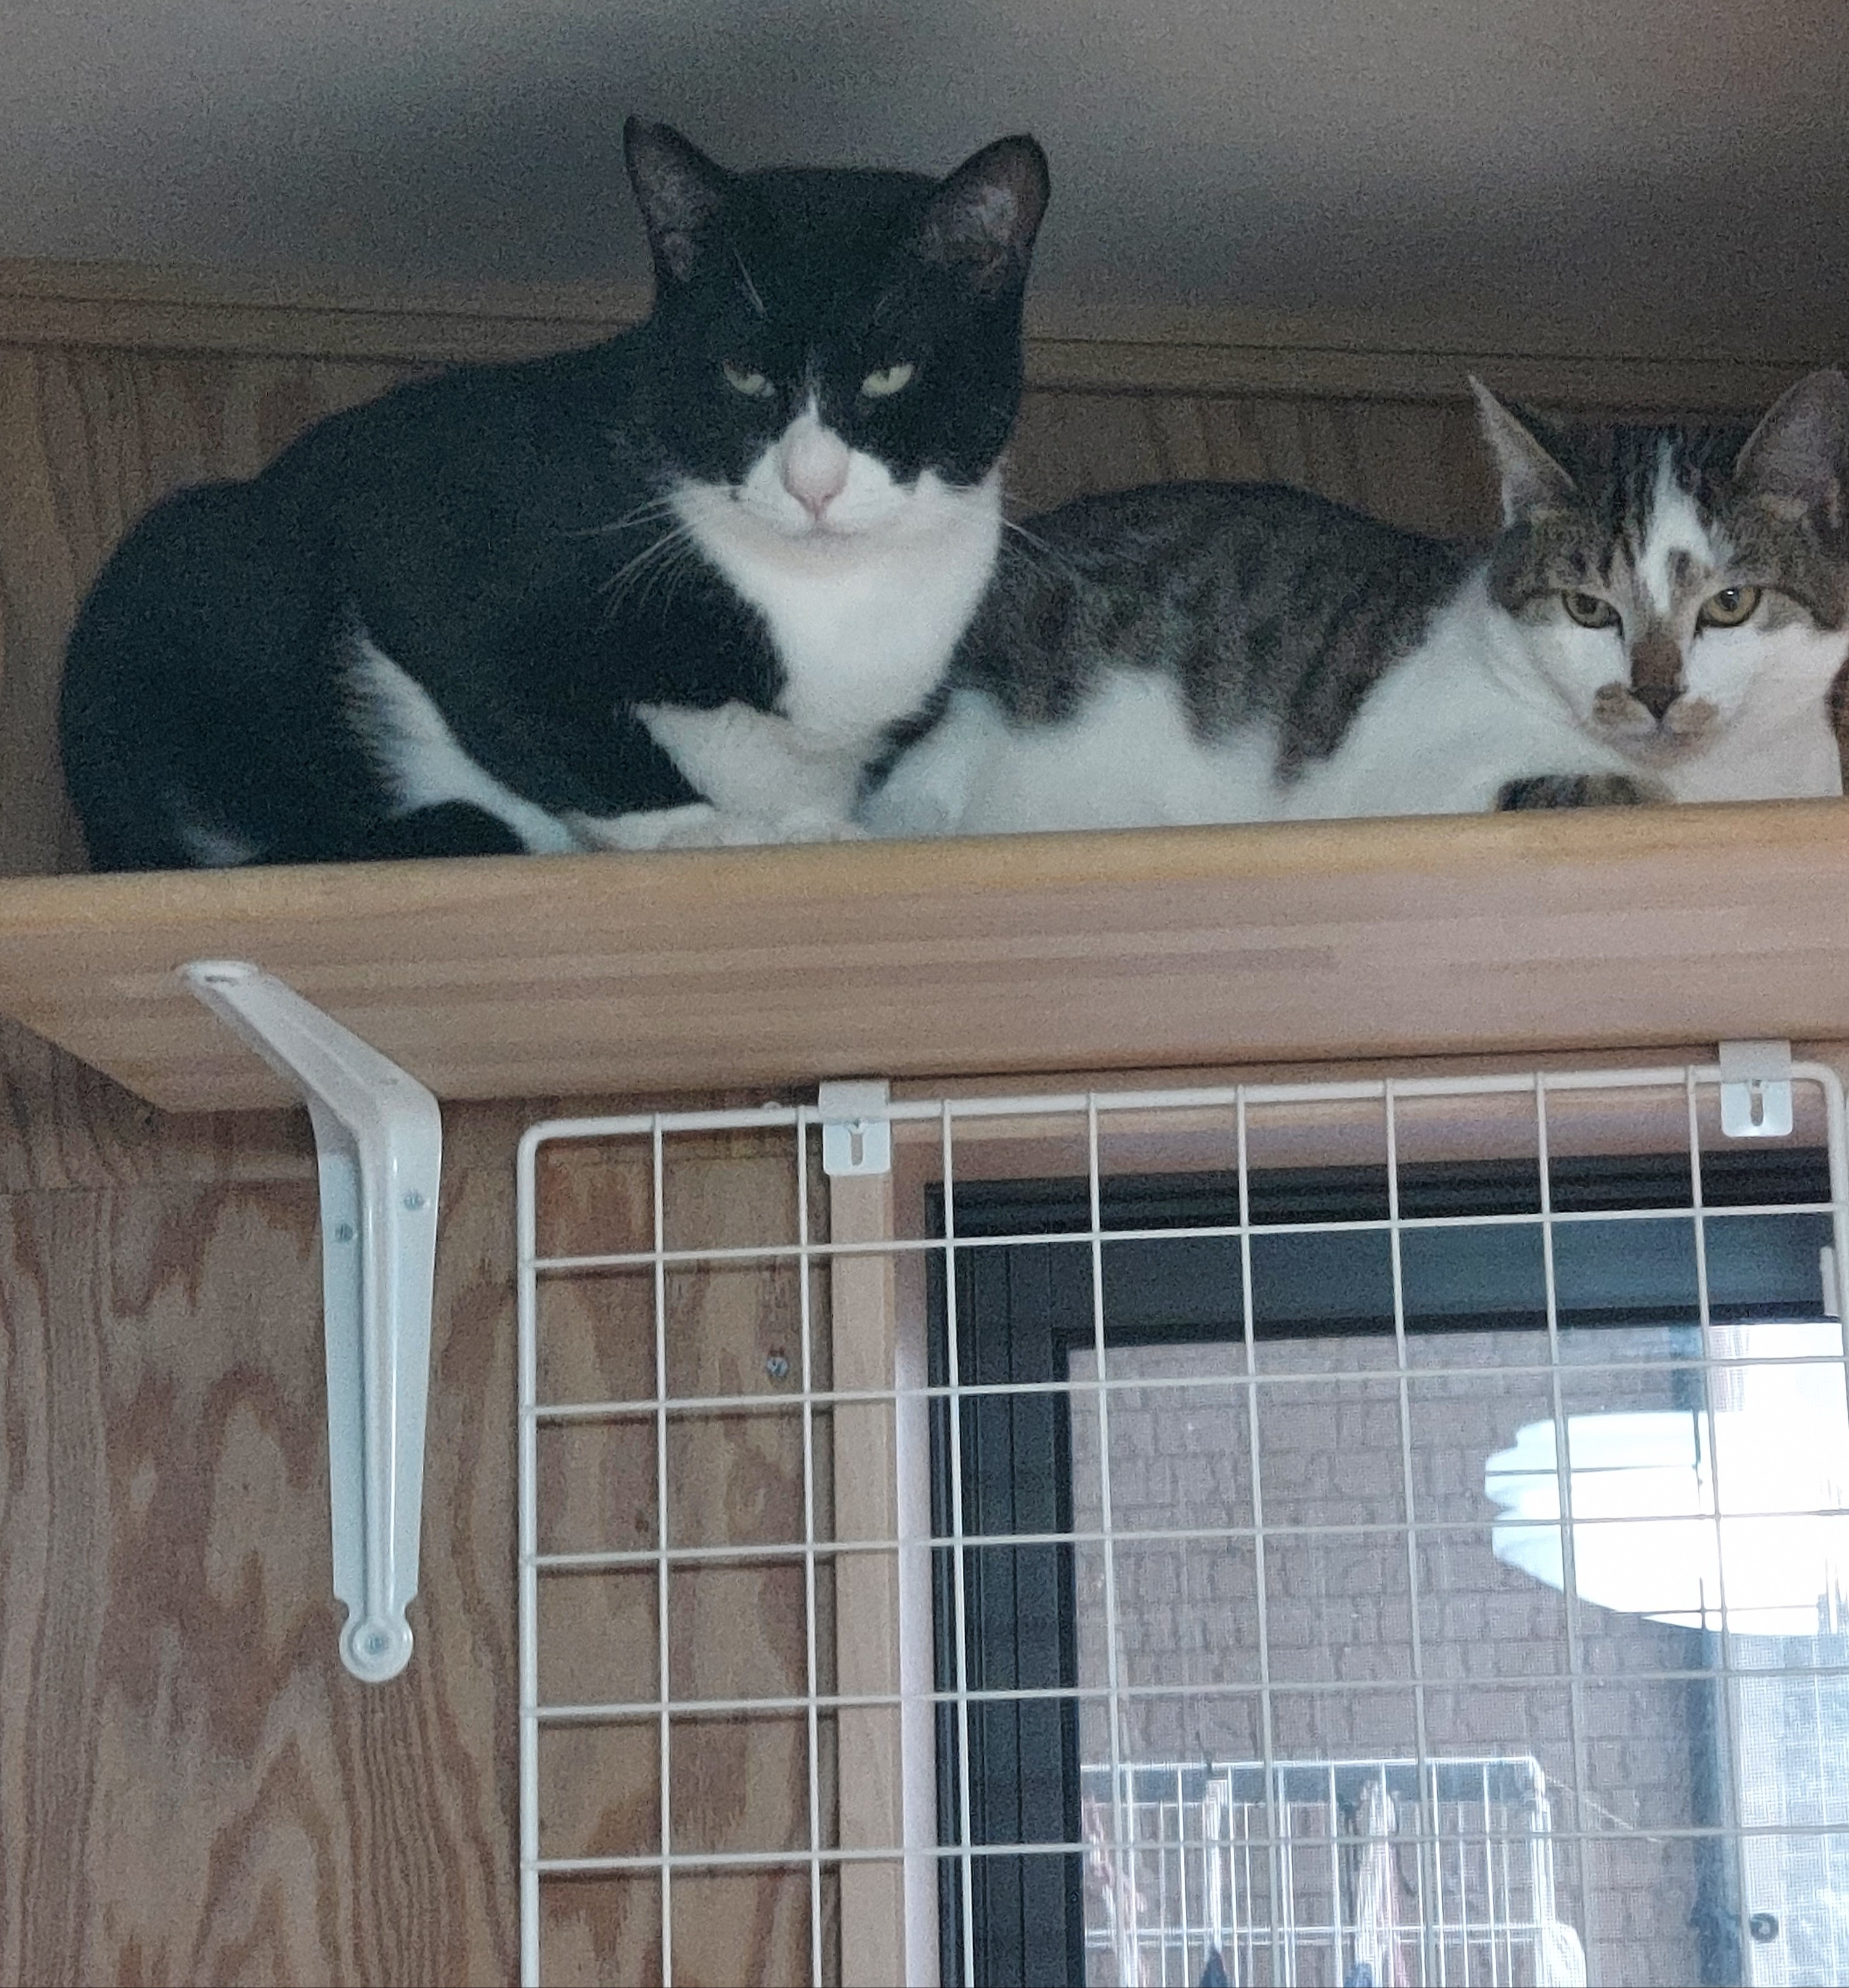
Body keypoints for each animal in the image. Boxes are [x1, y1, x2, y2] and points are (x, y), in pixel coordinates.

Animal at [59, 119, 1049, 870]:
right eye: (741, 374)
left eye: (890, 375)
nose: (813, 482)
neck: (828, 600)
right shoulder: (422, 533)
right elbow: (548, 720)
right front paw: (704, 830)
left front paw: (812, 827)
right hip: (185, 563)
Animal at [860, 370, 1849, 838]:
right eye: (1587, 608)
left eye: (1730, 603)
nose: (1654, 692)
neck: (1728, 783)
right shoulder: (1395, 788)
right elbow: (1574, 786)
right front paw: (1623, 784)